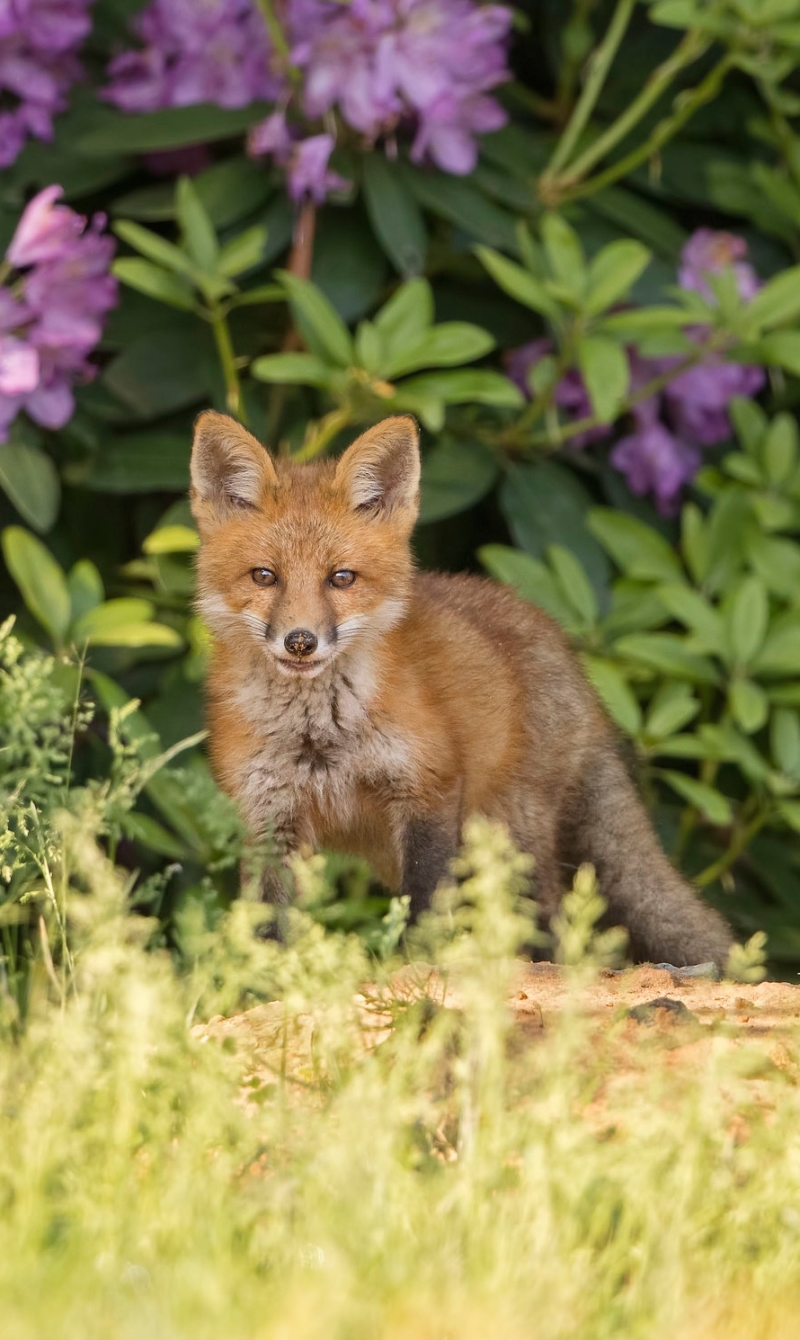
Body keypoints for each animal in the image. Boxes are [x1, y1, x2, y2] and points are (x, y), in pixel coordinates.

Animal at [190, 407, 734, 964]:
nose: (300, 641)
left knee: (548, 931)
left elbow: (423, 903)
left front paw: (415, 965)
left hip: (508, 841)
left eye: (341, 578)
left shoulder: (429, 786)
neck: (317, 738)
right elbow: (266, 929)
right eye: (264, 576)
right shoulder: (266, 816)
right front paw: (263, 980)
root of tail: (568, 655)